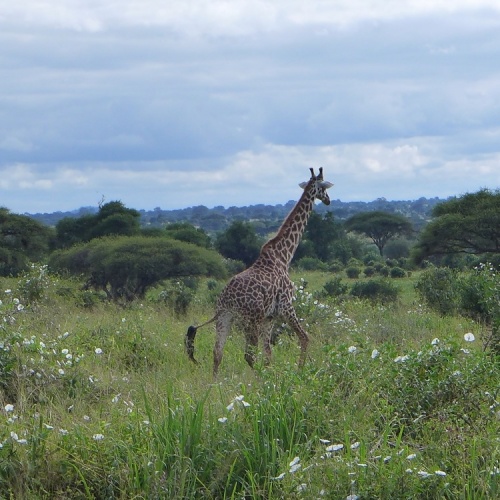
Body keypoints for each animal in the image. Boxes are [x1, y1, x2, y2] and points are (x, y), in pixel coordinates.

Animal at [186, 167, 334, 376]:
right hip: (250, 320)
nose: (328, 200)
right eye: (324, 187)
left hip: (225, 318)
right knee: (249, 355)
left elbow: (268, 354)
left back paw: (214, 384)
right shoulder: (286, 306)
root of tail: (226, 301)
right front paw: (299, 372)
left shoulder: (269, 317)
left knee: (218, 353)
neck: (284, 255)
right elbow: (304, 337)